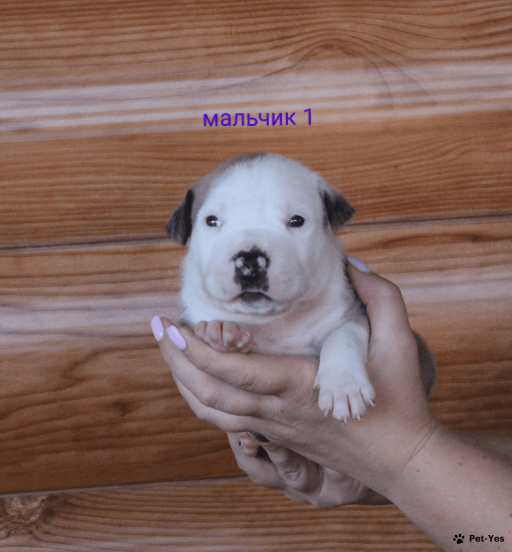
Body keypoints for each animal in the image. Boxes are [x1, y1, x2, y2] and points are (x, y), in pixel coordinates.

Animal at [166, 153, 435, 421]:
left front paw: (344, 386)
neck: (275, 323)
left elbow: (343, 336)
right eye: (211, 221)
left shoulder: (353, 311)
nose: (250, 261)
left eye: (296, 221)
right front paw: (221, 331)